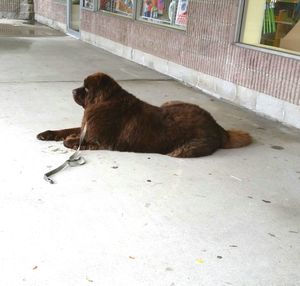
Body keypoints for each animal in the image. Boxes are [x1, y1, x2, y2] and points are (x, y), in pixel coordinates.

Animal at [38, 71, 253, 156]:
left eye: (86, 88)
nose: (73, 91)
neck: (105, 102)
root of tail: (218, 127)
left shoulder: (99, 138)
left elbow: (70, 140)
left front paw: (70, 140)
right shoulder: (85, 126)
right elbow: (66, 130)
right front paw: (47, 134)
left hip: (185, 149)